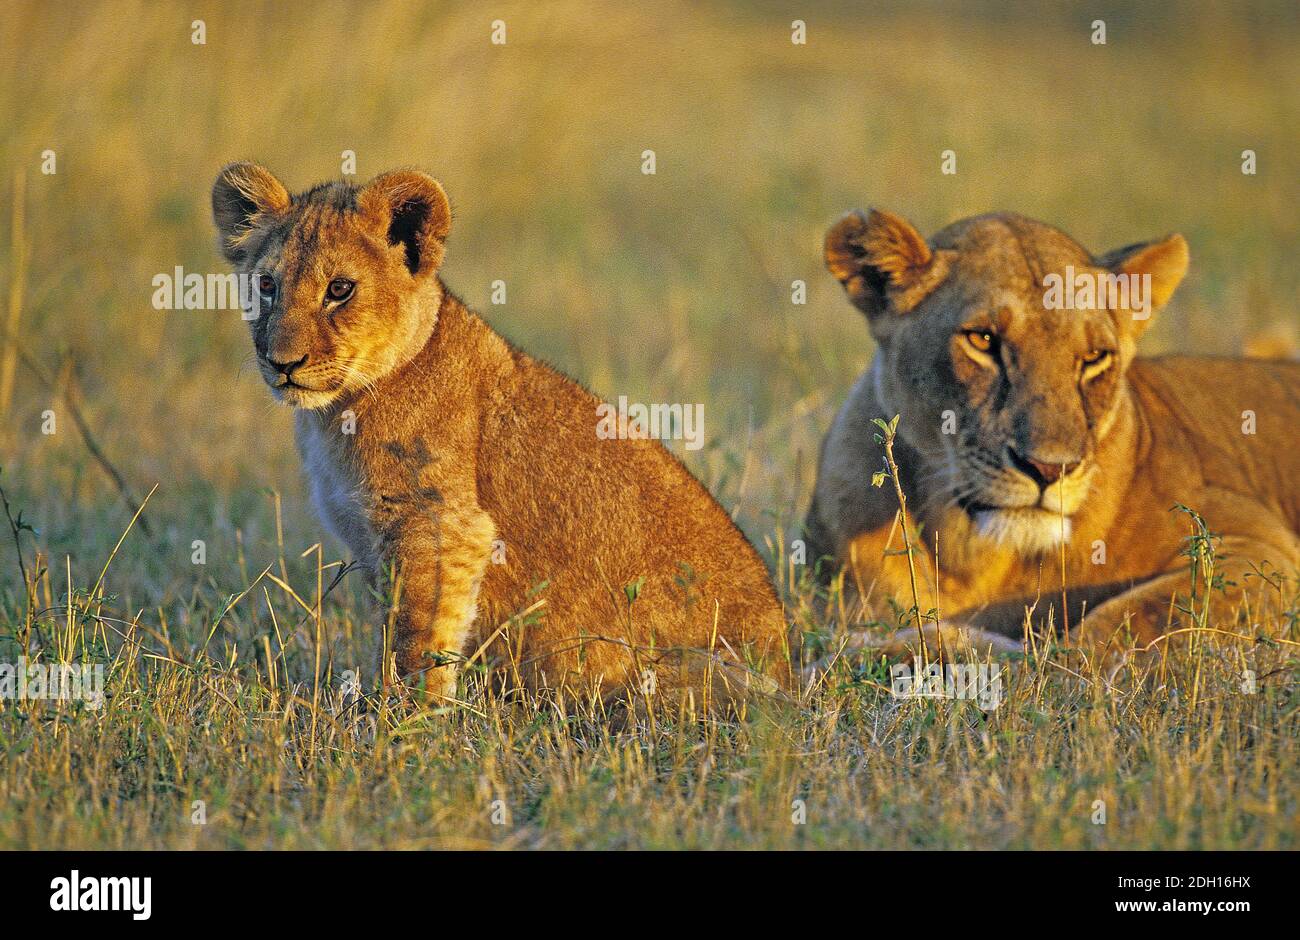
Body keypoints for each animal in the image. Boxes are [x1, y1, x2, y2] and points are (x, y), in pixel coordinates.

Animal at [211, 163, 790, 705]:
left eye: (339, 289)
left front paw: (402, 719)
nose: (282, 363)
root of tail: (788, 666)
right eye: (266, 286)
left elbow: (416, 639)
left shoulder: (441, 523)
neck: (334, 416)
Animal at [806, 208, 1300, 668]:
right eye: (982, 339)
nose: (1049, 468)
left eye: (1095, 357)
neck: (977, 560)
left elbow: (1105, 635)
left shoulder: (1259, 549)